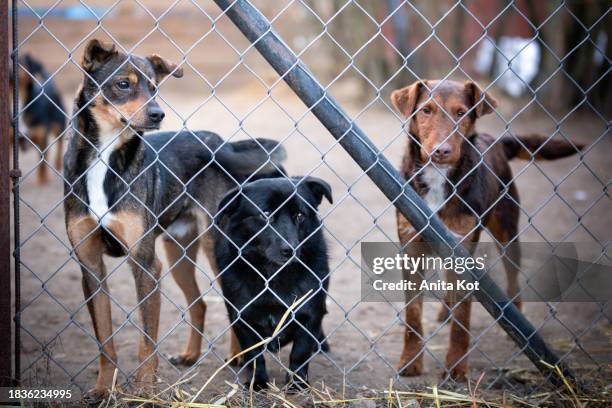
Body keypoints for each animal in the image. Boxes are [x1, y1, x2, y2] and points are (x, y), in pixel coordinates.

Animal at [214, 177, 332, 390]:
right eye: (265, 214)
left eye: (300, 215)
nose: (290, 249)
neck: (273, 275)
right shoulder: (242, 319)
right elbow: (254, 356)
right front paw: (258, 383)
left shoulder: (309, 315)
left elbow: (300, 353)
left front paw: (297, 384)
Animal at [390, 80, 584, 382]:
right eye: (426, 110)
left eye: (461, 113)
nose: (441, 151)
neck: (439, 178)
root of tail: (496, 140)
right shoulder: (411, 246)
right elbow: (413, 313)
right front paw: (411, 360)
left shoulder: (463, 247)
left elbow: (463, 317)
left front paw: (456, 366)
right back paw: (445, 310)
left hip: (507, 231)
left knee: (512, 278)